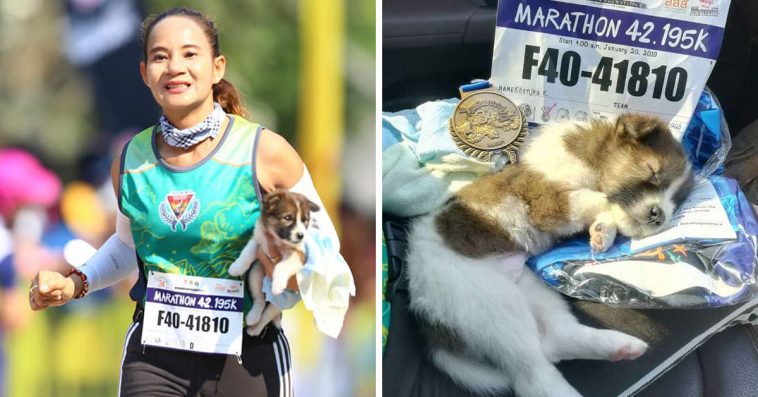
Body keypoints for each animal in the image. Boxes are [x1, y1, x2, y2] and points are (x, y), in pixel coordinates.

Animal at [227, 189, 320, 334]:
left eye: (305, 220)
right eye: (288, 218)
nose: (301, 235)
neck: (278, 240)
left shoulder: (297, 255)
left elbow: (281, 266)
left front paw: (277, 284)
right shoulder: (258, 239)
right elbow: (247, 252)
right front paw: (237, 267)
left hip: (283, 301)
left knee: (267, 314)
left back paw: (256, 328)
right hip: (255, 274)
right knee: (259, 300)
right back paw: (253, 317)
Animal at [406, 113, 696, 394]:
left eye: (677, 200)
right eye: (653, 172)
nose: (660, 217)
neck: (588, 158)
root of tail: (426, 322)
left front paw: (602, 233)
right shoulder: (549, 203)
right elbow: (600, 199)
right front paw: (612, 224)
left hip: (529, 288)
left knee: (555, 339)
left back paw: (618, 346)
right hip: (486, 302)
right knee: (532, 376)